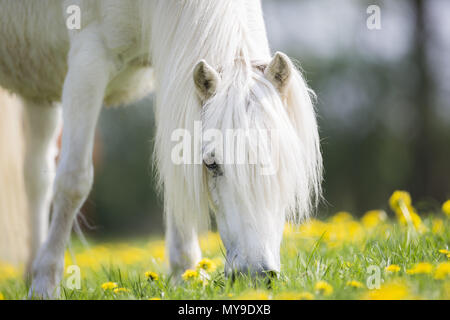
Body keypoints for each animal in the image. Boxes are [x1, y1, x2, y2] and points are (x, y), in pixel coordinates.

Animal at [0, 1, 320, 298]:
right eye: (211, 163)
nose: (256, 276)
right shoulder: (88, 60)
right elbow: (72, 182)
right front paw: (44, 286)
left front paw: (187, 276)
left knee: (36, 174)